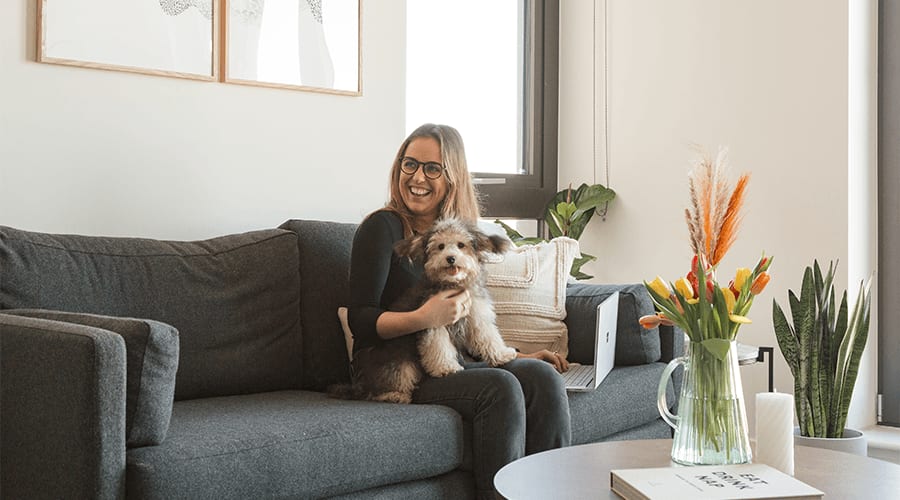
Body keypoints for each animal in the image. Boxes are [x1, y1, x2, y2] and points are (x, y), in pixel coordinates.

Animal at [328, 218, 512, 402]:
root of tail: (359, 385)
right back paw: (393, 395)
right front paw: (445, 367)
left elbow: (488, 337)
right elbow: (438, 345)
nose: (451, 258)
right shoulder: (434, 321)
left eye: (461, 245)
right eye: (440, 246)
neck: (452, 284)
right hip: (400, 363)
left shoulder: (477, 315)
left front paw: (502, 354)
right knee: (387, 383)